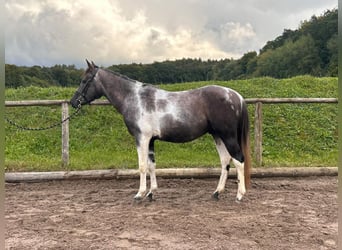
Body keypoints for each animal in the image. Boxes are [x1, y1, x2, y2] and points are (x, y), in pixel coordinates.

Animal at [70, 60, 251, 203]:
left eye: (84, 80)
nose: (73, 102)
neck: (135, 99)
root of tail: (236, 96)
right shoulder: (150, 140)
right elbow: (152, 165)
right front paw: (151, 193)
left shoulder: (141, 138)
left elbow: (142, 166)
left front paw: (139, 194)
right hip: (217, 135)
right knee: (225, 161)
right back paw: (217, 192)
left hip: (228, 136)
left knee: (238, 160)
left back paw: (240, 195)